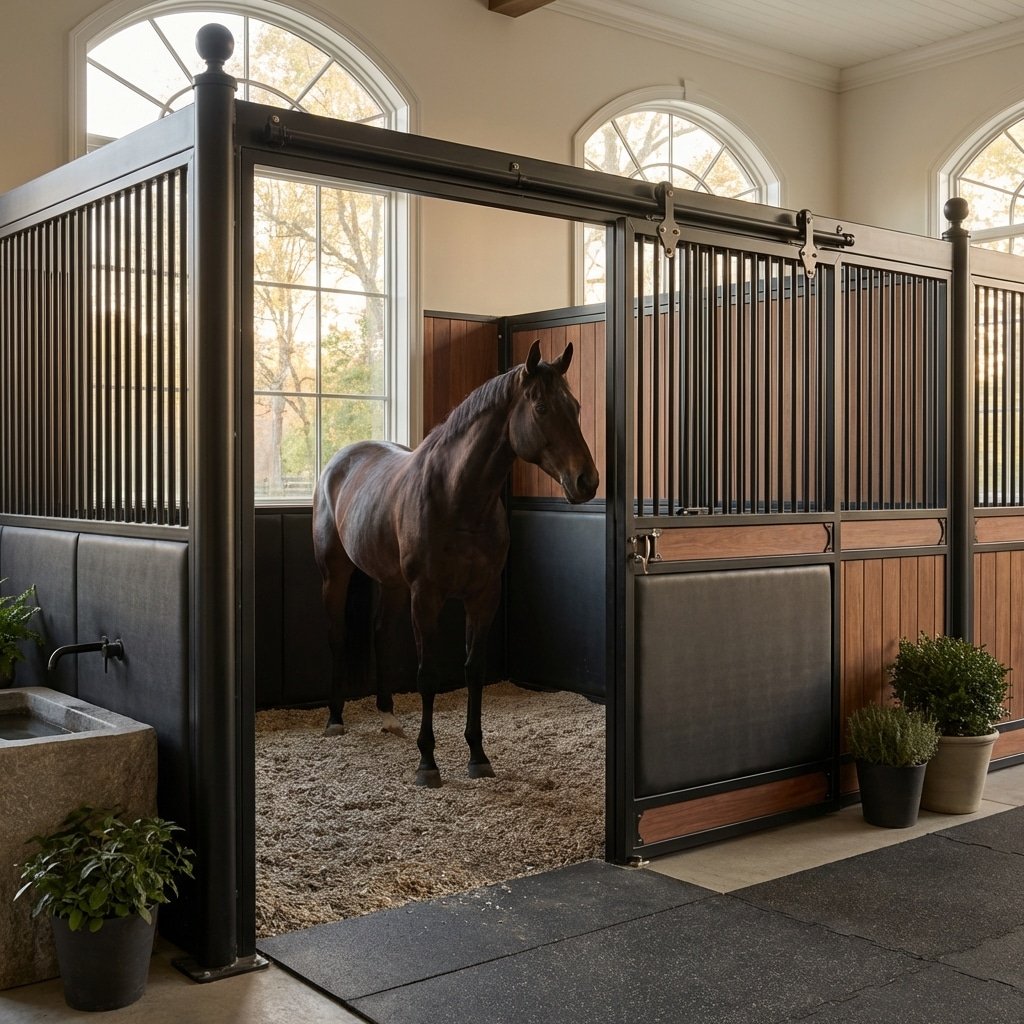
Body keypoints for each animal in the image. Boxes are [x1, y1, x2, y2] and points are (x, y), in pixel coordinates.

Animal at [312, 339, 599, 787]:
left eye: (576, 407)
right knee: (337, 636)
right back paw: (336, 719)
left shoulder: (482, 597)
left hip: (392, 583)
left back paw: (388, 716)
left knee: (380, 633)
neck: (457, 498)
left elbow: (473, 671)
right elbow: (427, 675)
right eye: (541, 408)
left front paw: (478, 756)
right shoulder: (426, 597)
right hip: (336, 574)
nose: (587, 481)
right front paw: (427, 763)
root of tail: (340, 460)